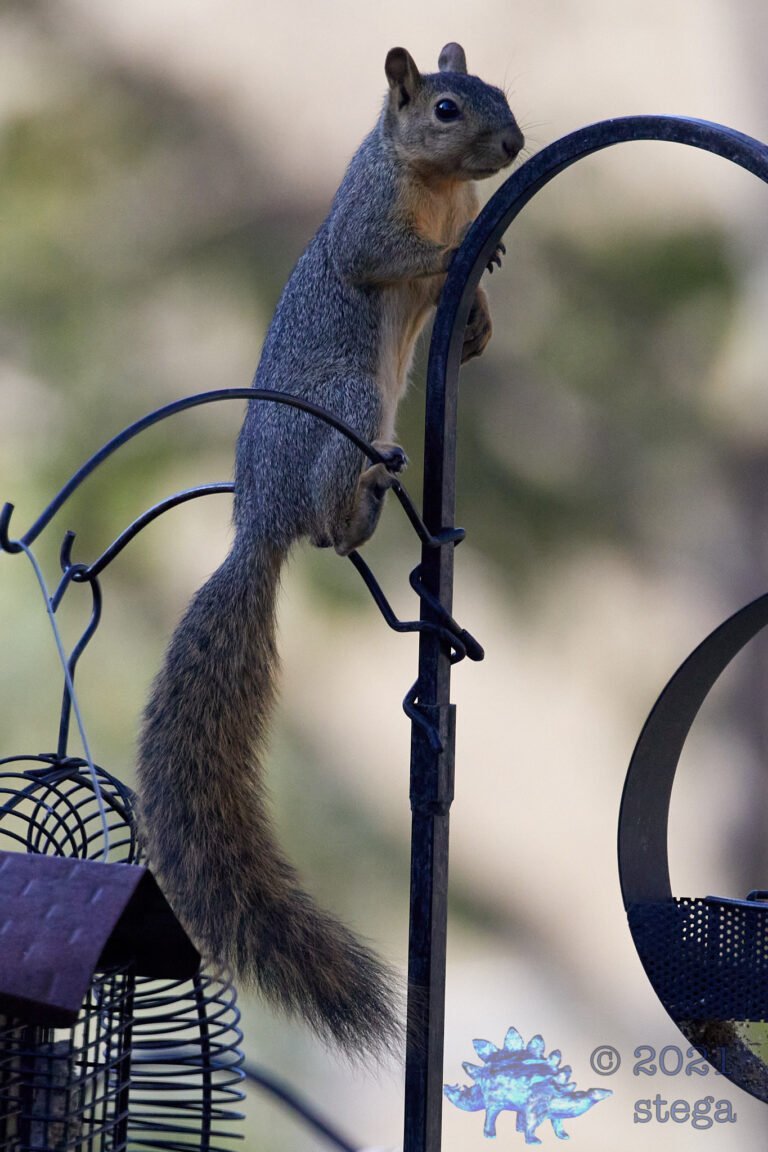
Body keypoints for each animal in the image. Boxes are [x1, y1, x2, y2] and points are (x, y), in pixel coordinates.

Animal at [137, 42, 523, 1056]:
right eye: (444, 108)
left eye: (501, 93)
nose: (514, 145)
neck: (437, 189)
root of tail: (258, 521)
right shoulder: (365, 215)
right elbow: (380, 256)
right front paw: (457, 263)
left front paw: (478, 318)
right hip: (347, 401)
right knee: (326, 518)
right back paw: (364, 501)